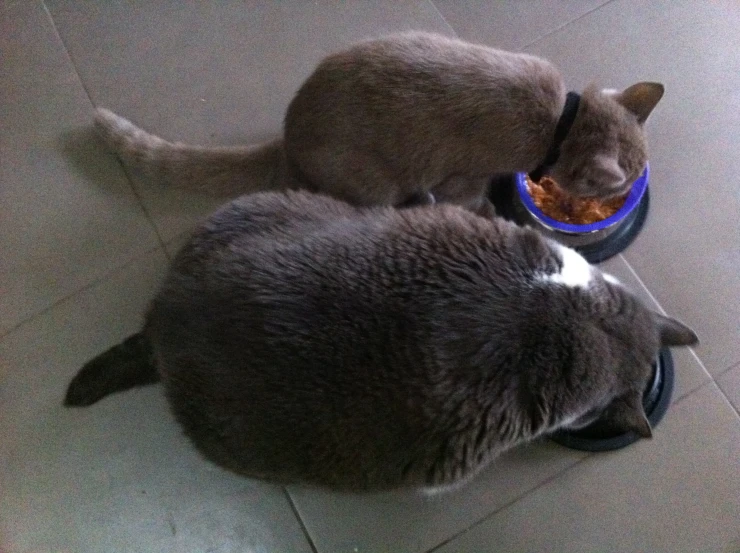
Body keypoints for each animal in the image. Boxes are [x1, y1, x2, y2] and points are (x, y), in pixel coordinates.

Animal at [92, 30, 664, 216]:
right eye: (617, 185)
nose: (627, 192)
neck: (561, 121)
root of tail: (286, 139)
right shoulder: (466, 177)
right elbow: (471, 198)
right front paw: (488, 211)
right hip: (376, 181)